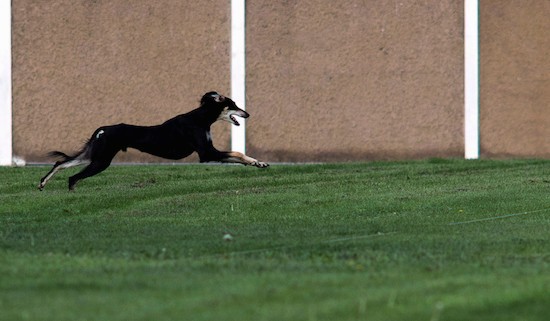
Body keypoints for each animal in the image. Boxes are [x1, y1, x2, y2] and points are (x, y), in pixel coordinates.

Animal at [38, 90, 270, 190]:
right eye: (234, 104)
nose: (248, 114)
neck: (200, 118)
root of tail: (102, 129)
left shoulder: (209, 151)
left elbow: (237, 156)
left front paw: (258, 163)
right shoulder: (206, 153)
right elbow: (237, 152)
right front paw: (257, 162)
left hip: (94, 154)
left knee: (60, 163)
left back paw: (42, 183)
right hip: (101, 160)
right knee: (73, 177)